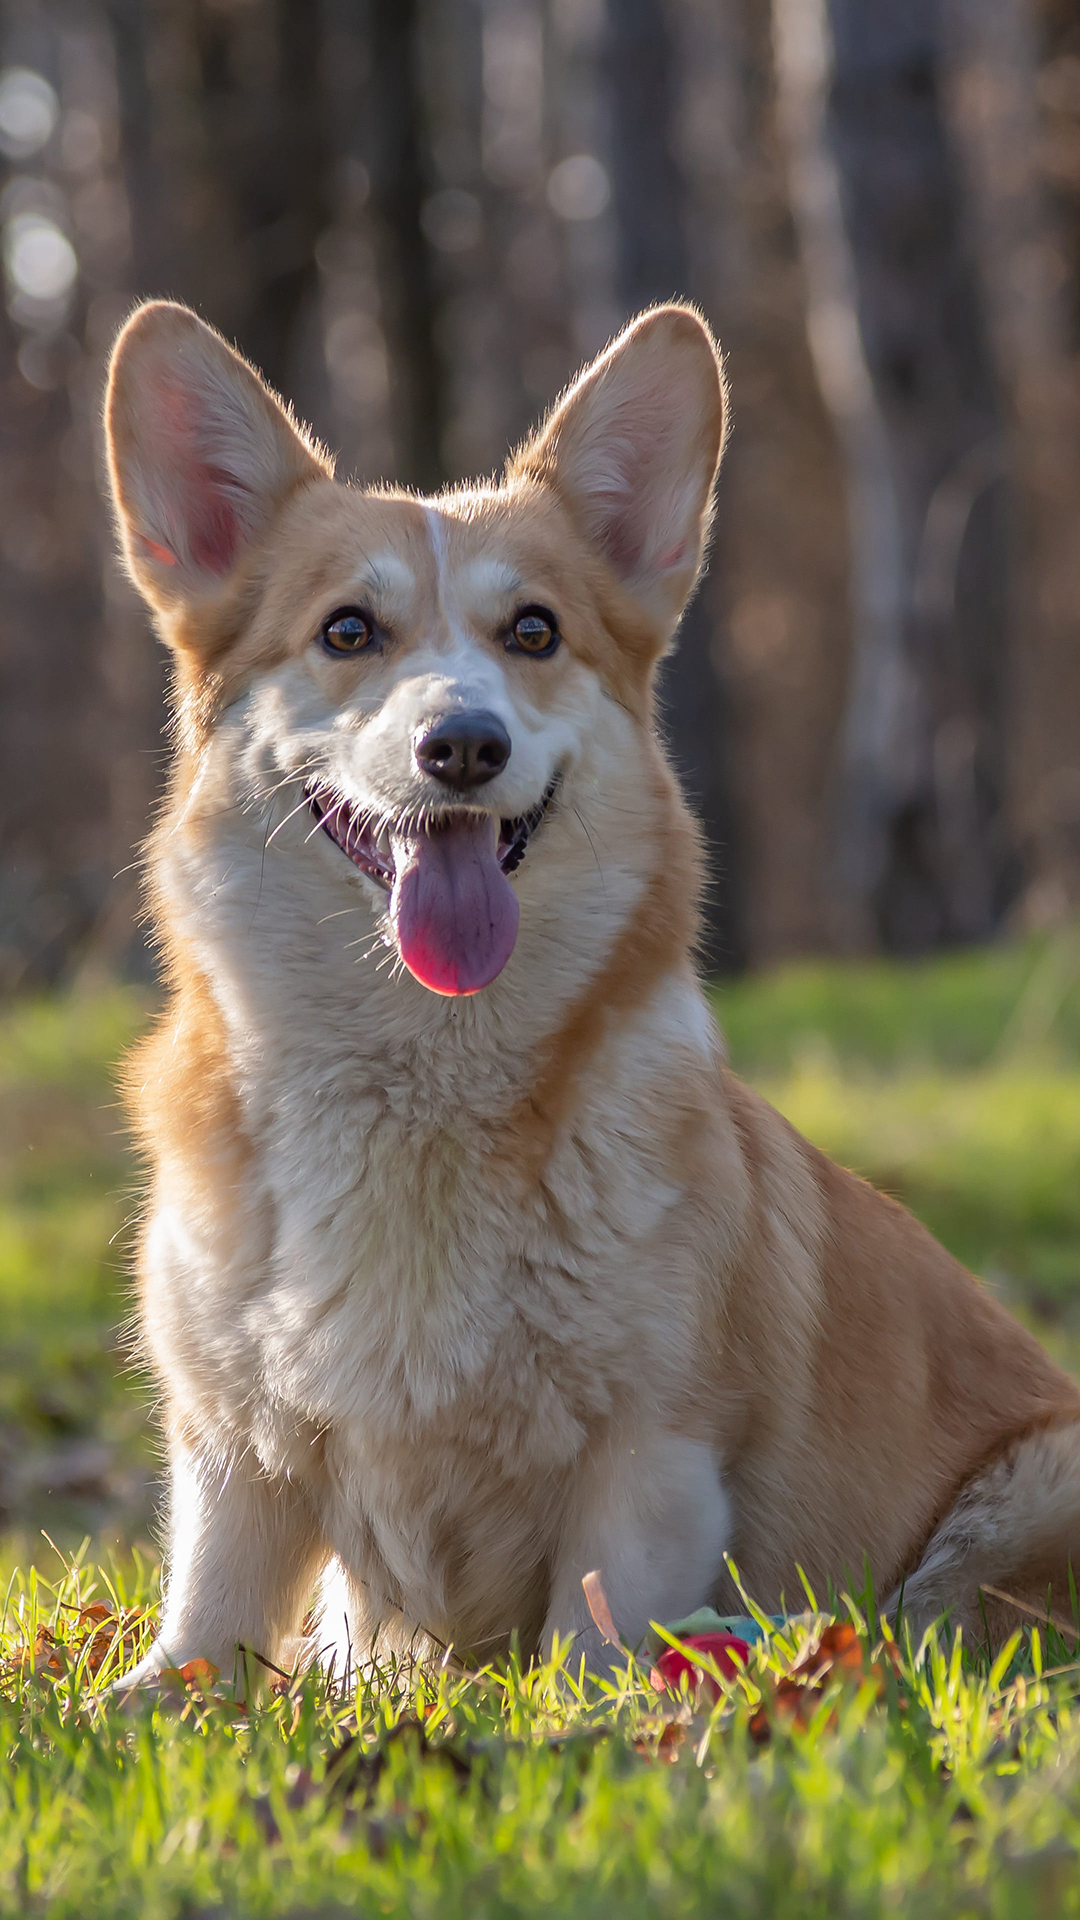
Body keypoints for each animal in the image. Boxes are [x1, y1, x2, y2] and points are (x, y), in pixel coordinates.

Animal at [107, 291, 1076, 1689]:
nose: (464, 746)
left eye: (535, 632)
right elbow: (200, 1644)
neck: (420, 1083)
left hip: (1027, 1492)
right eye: (347, 630)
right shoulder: (235, 1457)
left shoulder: (653, 1457)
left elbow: (588, 1655)